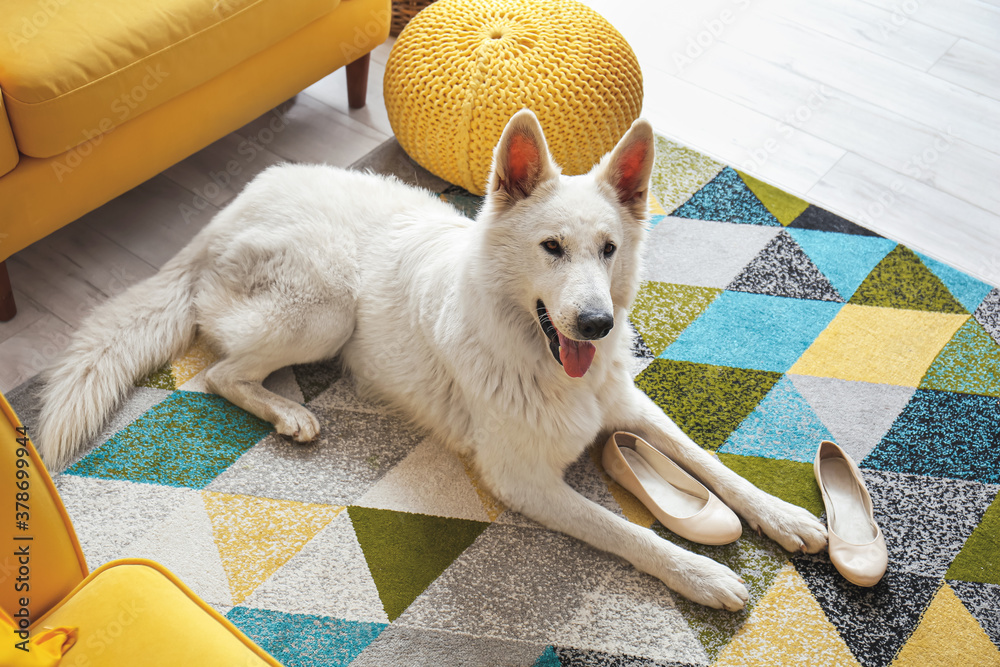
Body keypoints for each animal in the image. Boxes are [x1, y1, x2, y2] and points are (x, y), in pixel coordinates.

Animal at [35, 111, 824, 612]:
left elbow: (706, 460)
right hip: (327, 310)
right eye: (551, 248)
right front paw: (700, 572)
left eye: (607, 250)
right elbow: (626, 530)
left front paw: (785, 515)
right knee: (220, 372)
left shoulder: (626, 404)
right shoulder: (523, 481)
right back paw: (290, 412)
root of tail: (223, 214)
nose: (598, 325)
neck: (535, 354)